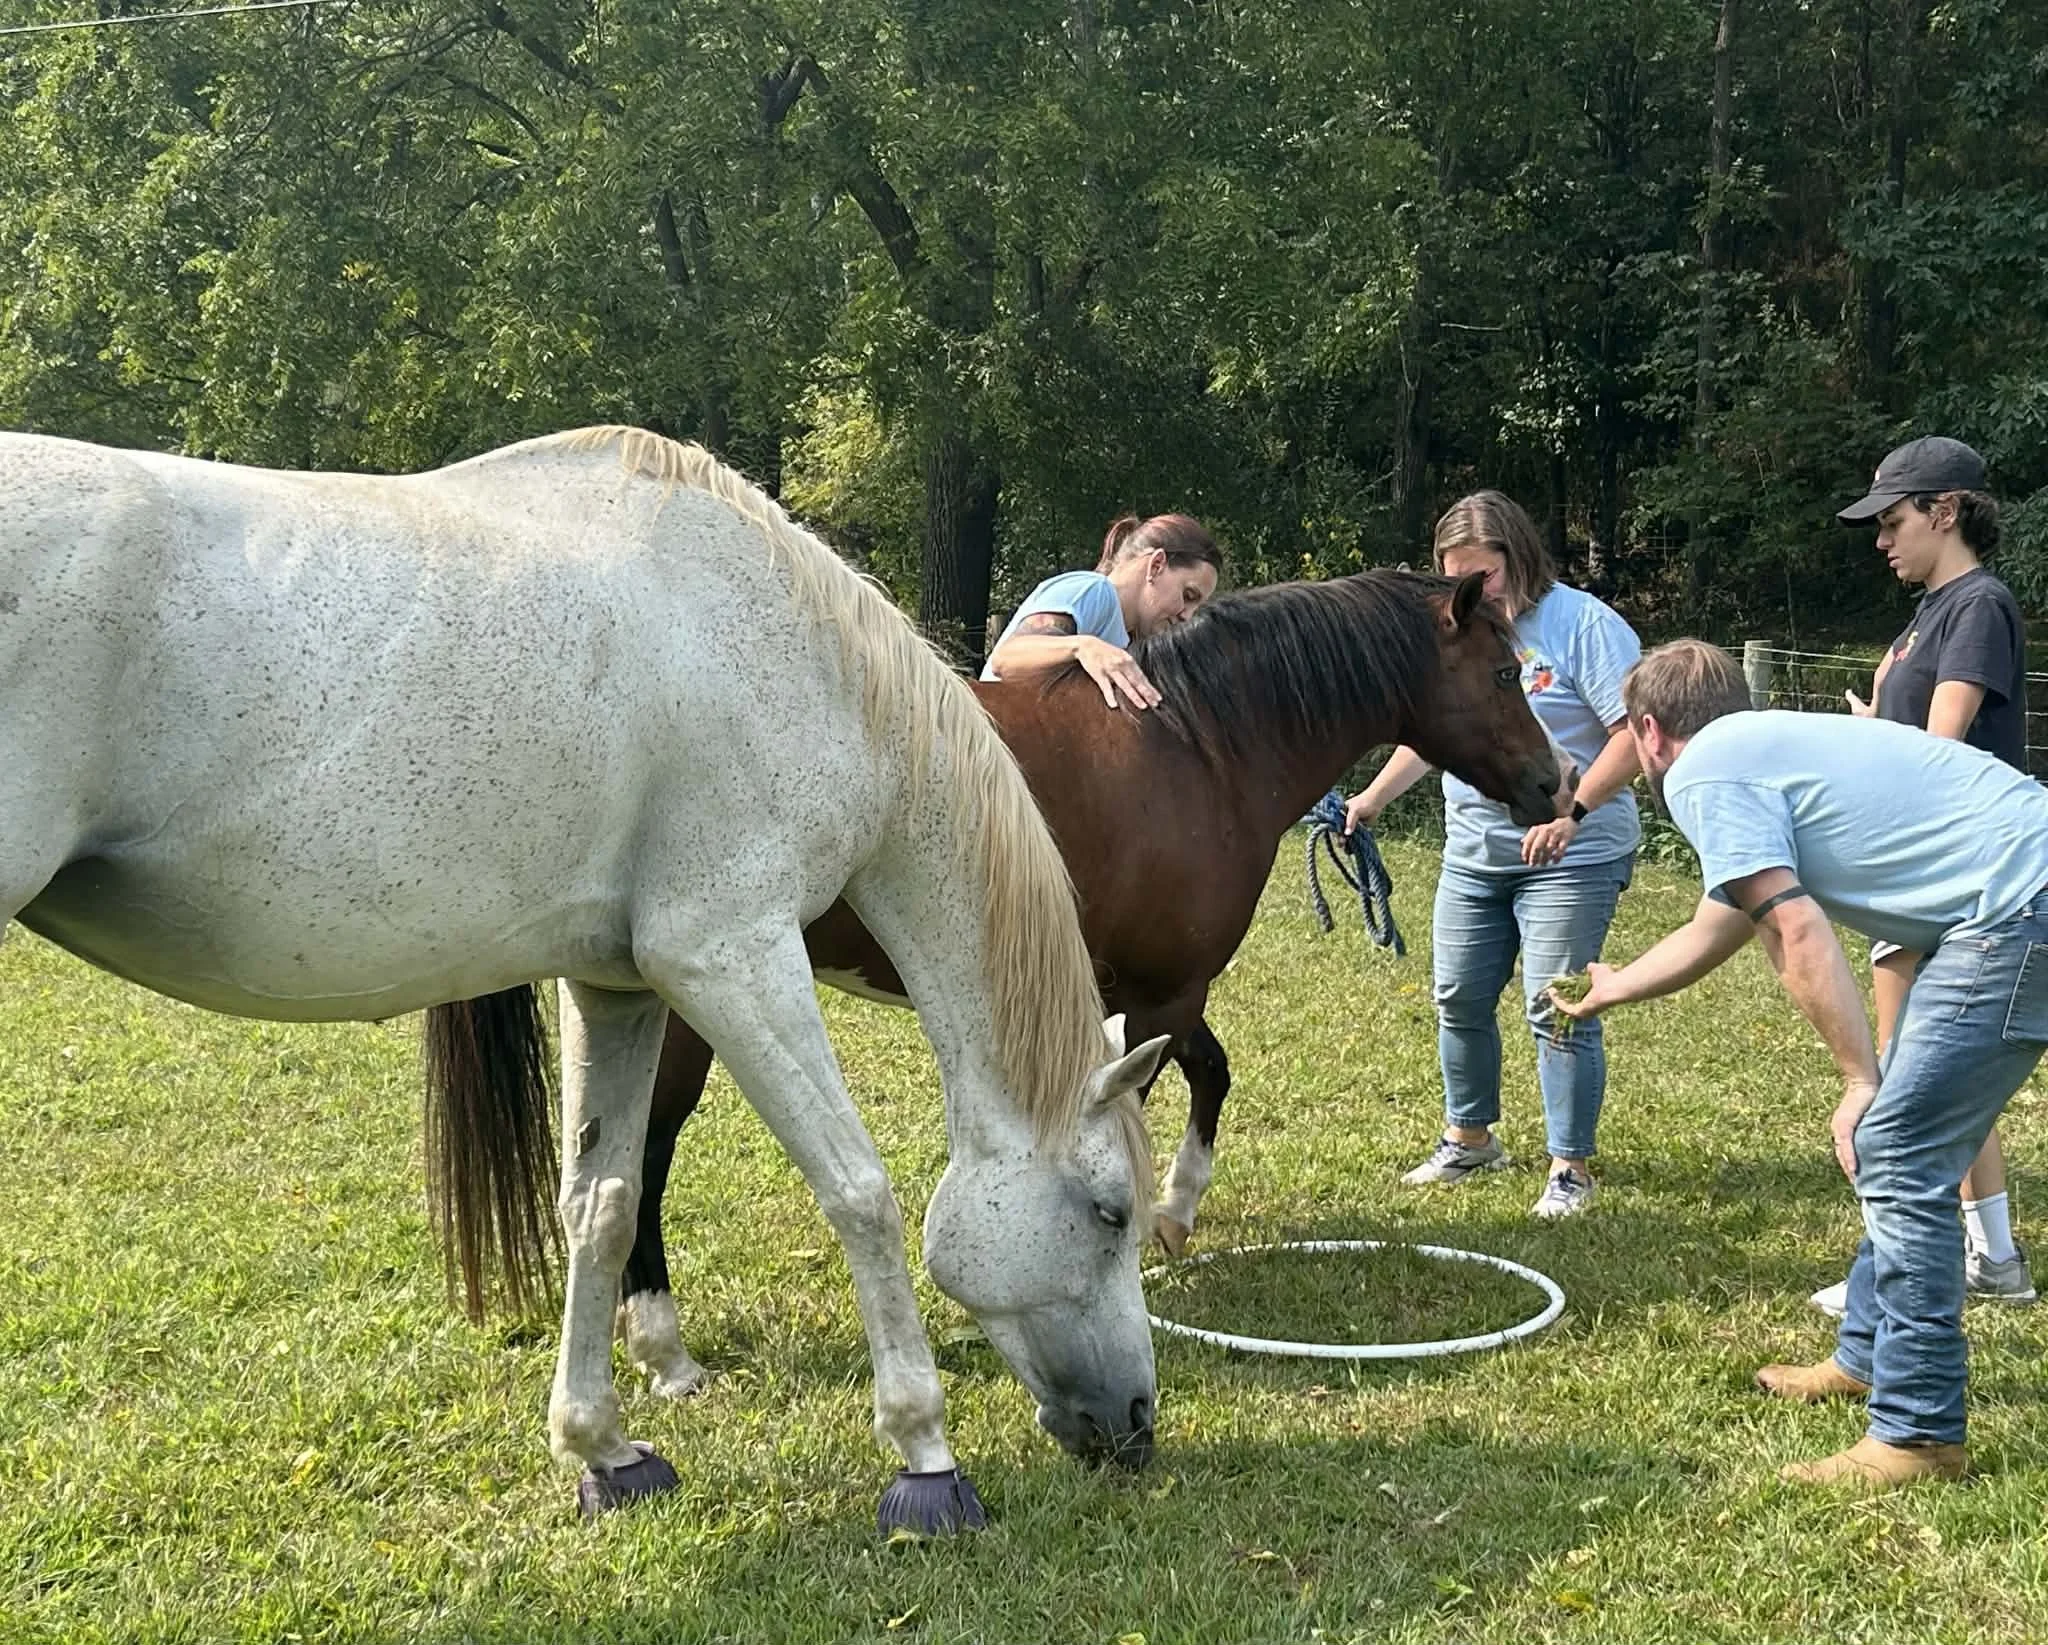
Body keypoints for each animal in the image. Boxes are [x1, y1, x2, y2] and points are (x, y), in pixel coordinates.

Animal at [0, 424, 1166, 1533]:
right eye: (1111, 1211)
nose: (1136, 1425)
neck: (794, 653)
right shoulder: (729, 952)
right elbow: (859, 1191)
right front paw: (925, 1457)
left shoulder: (620, 987)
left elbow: (601, 1201)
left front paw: (603, 1449)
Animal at [606, 568, 1569, 1403]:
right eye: (1502, 670)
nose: (1552, 783)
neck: (1200, 746)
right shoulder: (1165, 993)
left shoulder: (1150, 992)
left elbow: (1210, 1073)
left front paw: (1174, 1213)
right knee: (645, 1153)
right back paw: (664, 1348)